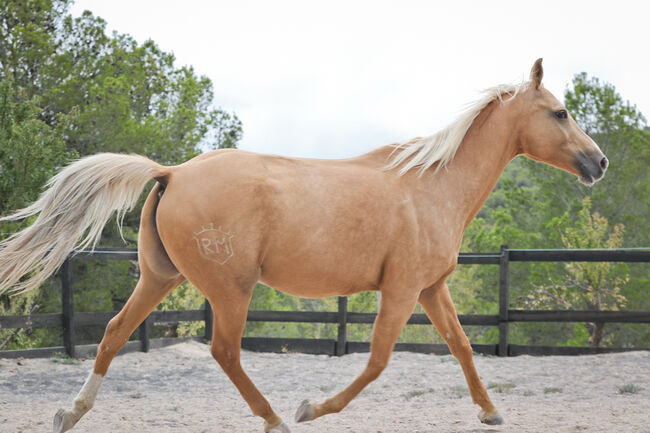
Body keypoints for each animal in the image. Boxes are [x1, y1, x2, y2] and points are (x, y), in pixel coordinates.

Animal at [1, 58, 608, 432]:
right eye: (560, 112)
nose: (598, 163)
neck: (432, 185)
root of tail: (172, 171)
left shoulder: (431, 288)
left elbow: (461, 347)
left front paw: (490, 412)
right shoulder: (402, 289)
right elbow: (378, 360)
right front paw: (313, 407)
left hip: (159, 278)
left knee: (112, 333)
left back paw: (70, 413)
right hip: (231, 289)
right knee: (224, 352)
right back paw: (274, 417)